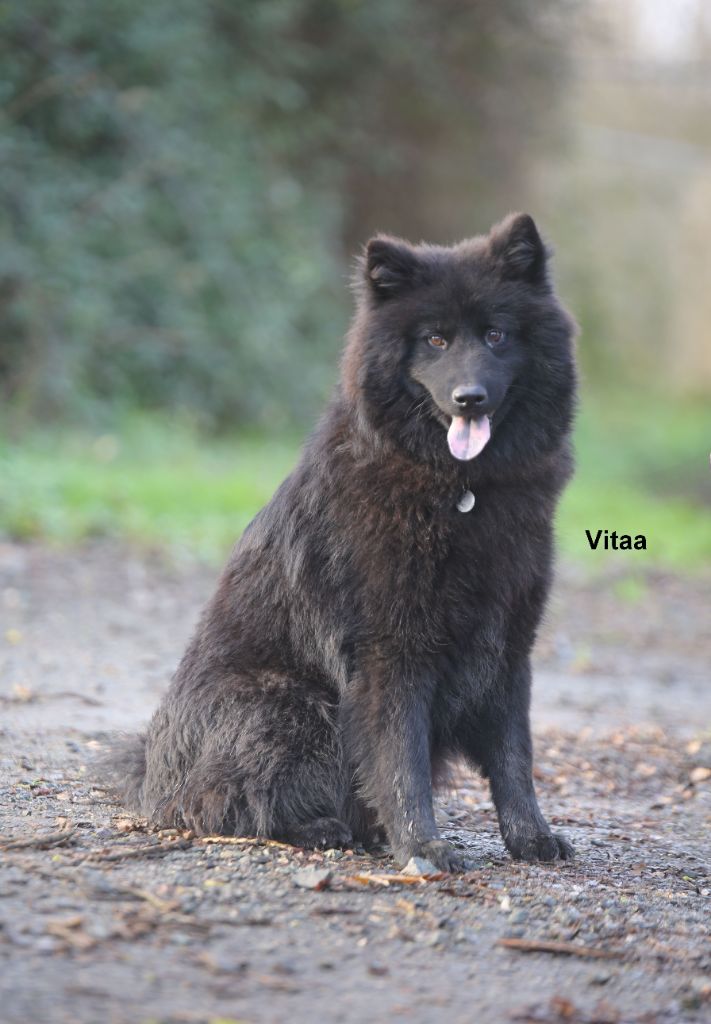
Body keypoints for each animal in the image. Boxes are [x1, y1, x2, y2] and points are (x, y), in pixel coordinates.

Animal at [108, 213, 577, 871]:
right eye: (435, 340)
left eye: (495, 335)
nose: (469, 398)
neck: (463, 490)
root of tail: (152, 775)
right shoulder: (392, 651)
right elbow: (401, 762)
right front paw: (421, 845)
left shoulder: (508, 644)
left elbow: (515, 758)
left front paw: (531, 837)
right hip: (288, 704)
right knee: (228, 801)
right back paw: (319, 829)